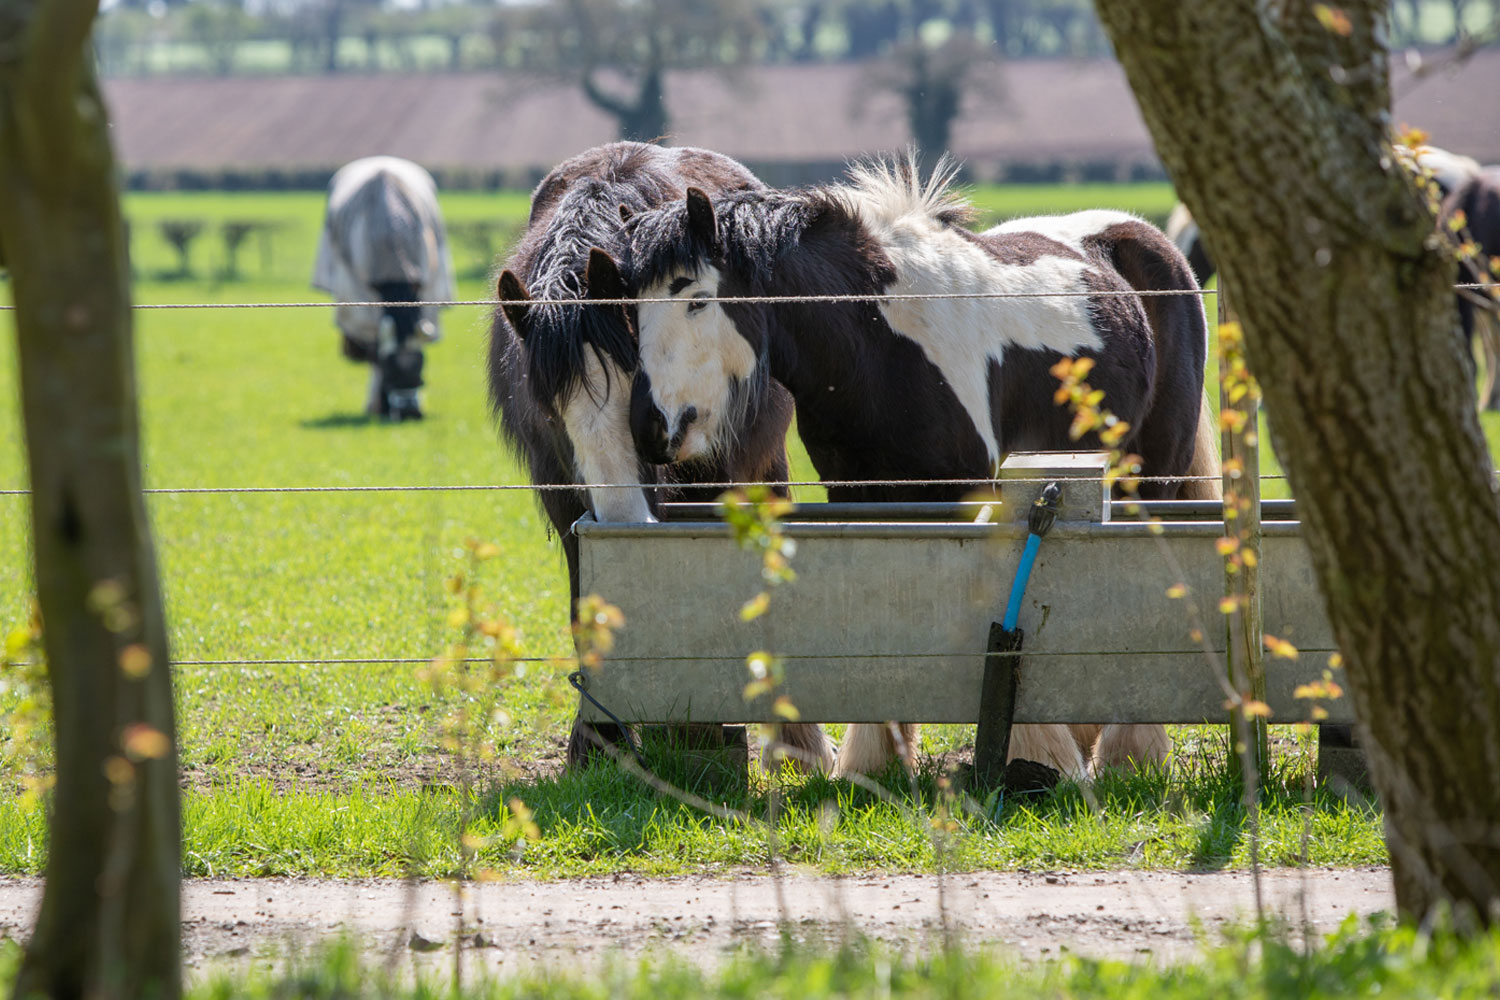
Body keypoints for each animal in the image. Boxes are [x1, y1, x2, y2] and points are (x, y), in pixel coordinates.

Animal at [312, 154, 453, 419]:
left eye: (420, 369)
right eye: (391, 371)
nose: (409, 413)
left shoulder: (426, 290)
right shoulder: (361, 302)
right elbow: (375, 351)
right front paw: (378, 406)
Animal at [486, 140, 828, 773]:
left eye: (635, 389)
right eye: (549, 414)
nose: (623, 516)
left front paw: (710, 733)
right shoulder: (565, 505)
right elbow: (589, 610)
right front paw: (599, 739)